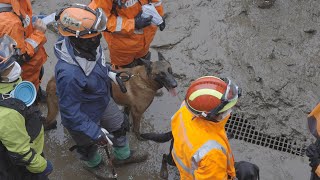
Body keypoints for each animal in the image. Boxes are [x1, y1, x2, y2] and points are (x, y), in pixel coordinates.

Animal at [43, 52, 178, 139]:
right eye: (161, 74)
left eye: (169, 70)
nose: (175, 84)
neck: (144, 79)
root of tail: (52, 81)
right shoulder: (137, 113)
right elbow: (137, 129)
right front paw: (139, 137)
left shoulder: (128, 106)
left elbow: (127, 116)